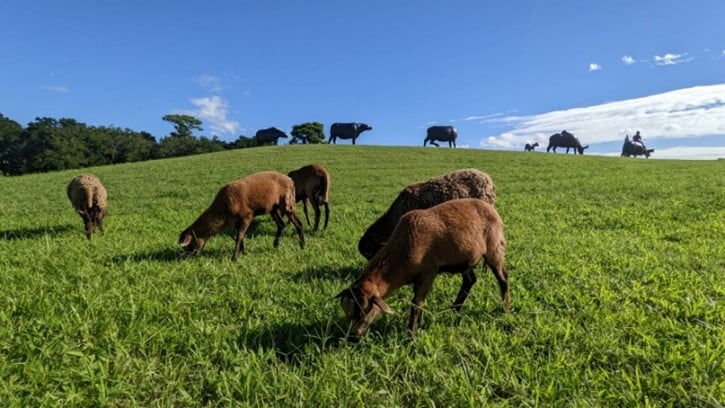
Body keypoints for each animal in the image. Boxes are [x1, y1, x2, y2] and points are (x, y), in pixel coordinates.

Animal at [336, 199, 506, 340]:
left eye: (363, 312)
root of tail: (491, 208)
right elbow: (420, 303)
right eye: (346, 313)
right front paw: (419, 327)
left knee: (503, 278)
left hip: (494, 246)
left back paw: (505, 309)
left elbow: (417, 304)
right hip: (465, 259)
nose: (351, 338)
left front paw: (411, 335)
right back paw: (455, 309)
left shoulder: (428, 272)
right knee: (470, 280)